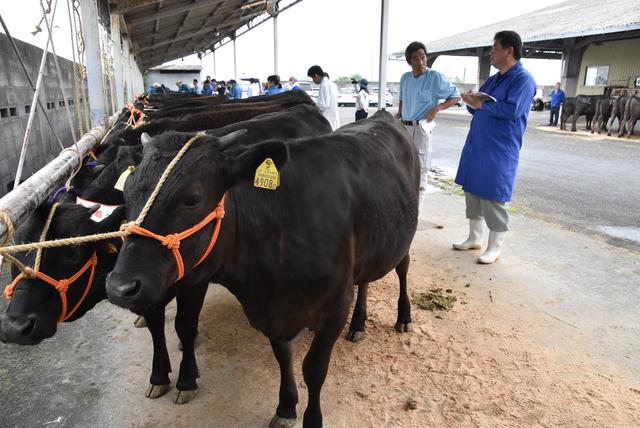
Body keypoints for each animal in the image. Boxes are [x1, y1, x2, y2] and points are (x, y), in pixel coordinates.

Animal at [105, 112, 418, 426]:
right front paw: (286, 407)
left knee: (402, 269)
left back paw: (403, 317)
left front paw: (312, 418)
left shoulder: (335, 307)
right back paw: (358, 324)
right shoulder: (273, 313)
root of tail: (383, 115)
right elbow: (283, 357)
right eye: (126, 194)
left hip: (404, 238)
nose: (119, 286)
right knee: (365, 279)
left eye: (192, 198)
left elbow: (314, 369)